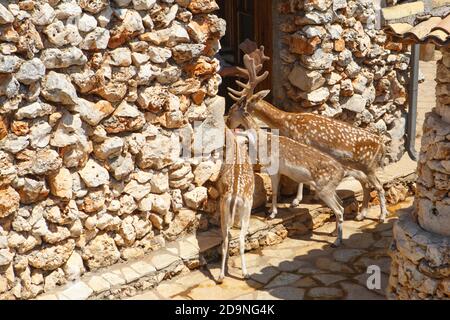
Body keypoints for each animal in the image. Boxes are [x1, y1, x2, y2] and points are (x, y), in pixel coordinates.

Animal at [216, 127, 255, 282]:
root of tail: (234, 197)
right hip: (247, 205)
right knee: (241, 240)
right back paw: (245, 273)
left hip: (223, 208)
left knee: (225, 241)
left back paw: (220, 276)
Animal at [229, 47, 386, 222]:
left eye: (235, 106)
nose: (228, 122)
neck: (286, 122)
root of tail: (382, 144)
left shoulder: (301, 142)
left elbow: (299, 180)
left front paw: (296, 201)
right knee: (366, 185)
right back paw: (361, 214)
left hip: (369, 166)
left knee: (378, 186)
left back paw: (381, 216)